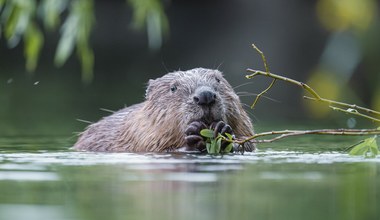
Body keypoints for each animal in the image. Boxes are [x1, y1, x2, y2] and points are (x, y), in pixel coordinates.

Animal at [73, 68, 255, 152]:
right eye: (173, 88)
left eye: (218, 80)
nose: (205, 95)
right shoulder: (139, 136)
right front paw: (194, 134)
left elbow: (248, 142)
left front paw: (222, 130)